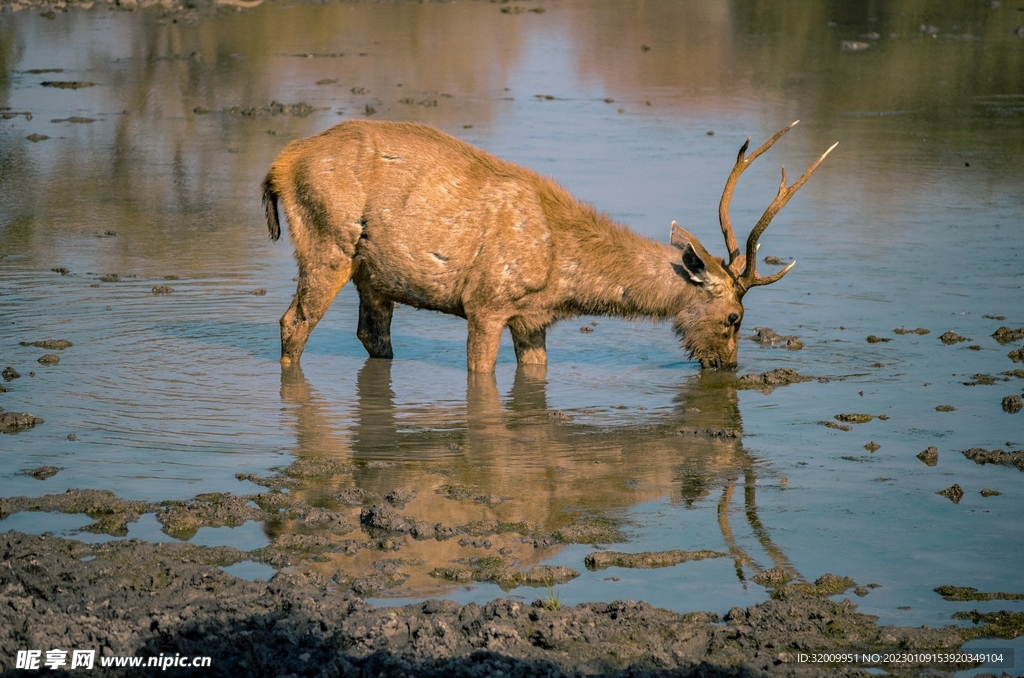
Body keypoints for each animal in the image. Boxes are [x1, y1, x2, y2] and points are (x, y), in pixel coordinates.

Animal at [262, 120, 835, 371]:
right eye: (735, 317)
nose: (727, 366)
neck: (564, 274)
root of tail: (277, 168)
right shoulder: (486, 303)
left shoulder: (532, 319)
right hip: (325, 246)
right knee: (293, 324)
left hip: (373, 277)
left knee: (371, 335)